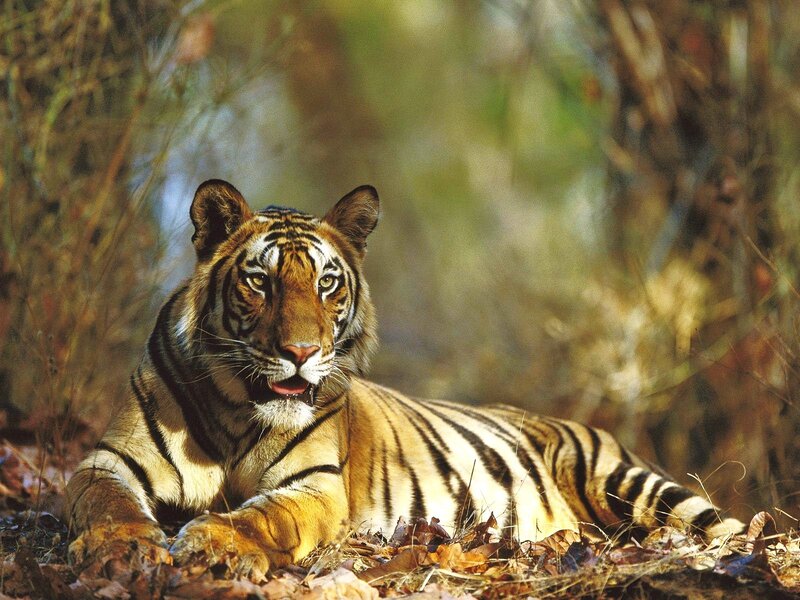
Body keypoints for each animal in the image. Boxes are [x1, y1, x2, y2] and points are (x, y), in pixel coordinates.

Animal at [66, 179, 746, 580]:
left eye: (327, 283)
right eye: (260, 281)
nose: (301, 352)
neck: (238, 409)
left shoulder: (315, 487)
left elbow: (260, 517)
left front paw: (208, 540)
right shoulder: (108, 460)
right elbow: (104, 503)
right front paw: (122, 547)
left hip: (630, 483)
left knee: (727, 530)